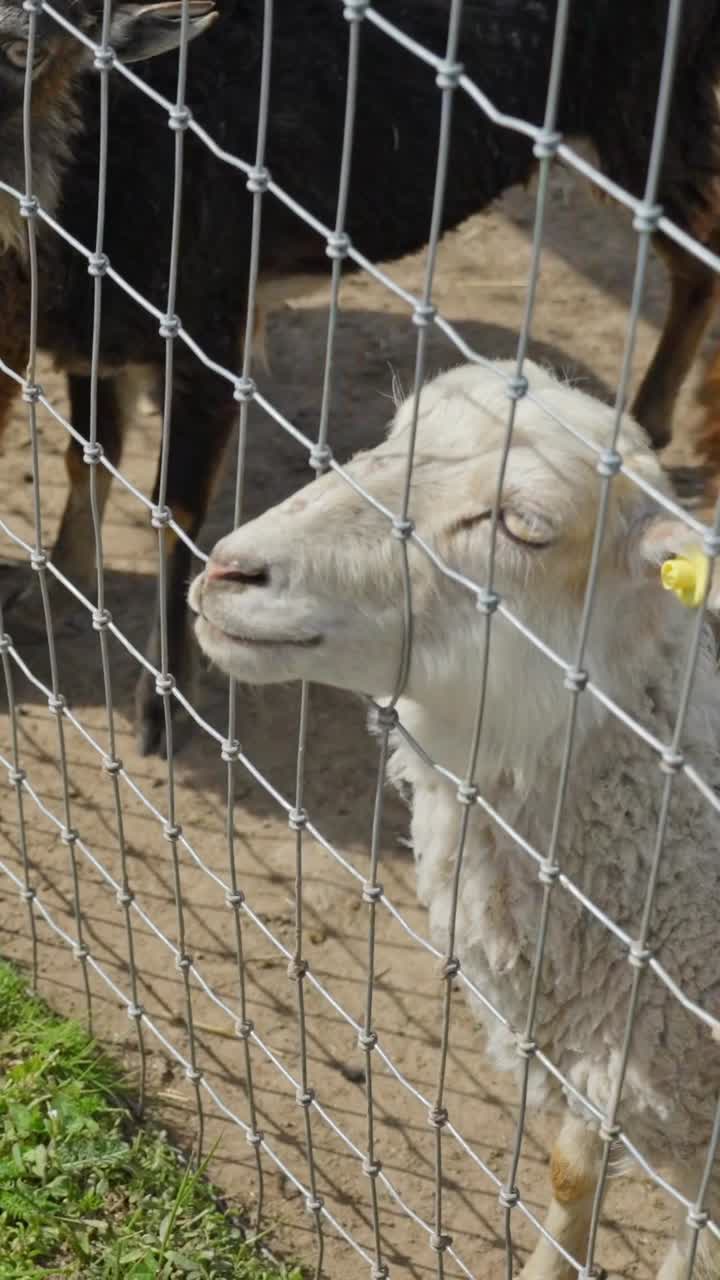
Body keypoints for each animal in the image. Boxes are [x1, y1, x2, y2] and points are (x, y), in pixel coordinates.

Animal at [4, 0, 720, 754]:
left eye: (27, 54)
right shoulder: (97, 332)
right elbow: (88, 457)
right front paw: (50, 592)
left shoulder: (210, 323)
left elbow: (175, 509)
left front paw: (164, 705)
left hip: (648, 111)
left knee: (699, 260)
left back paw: (650, 417)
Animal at [189, 359, 720, 1279]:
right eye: (395, 431)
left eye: (523, 526)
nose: (229, 571)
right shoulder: (617, 1040)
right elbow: (572, 1172)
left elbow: (693, 1241)